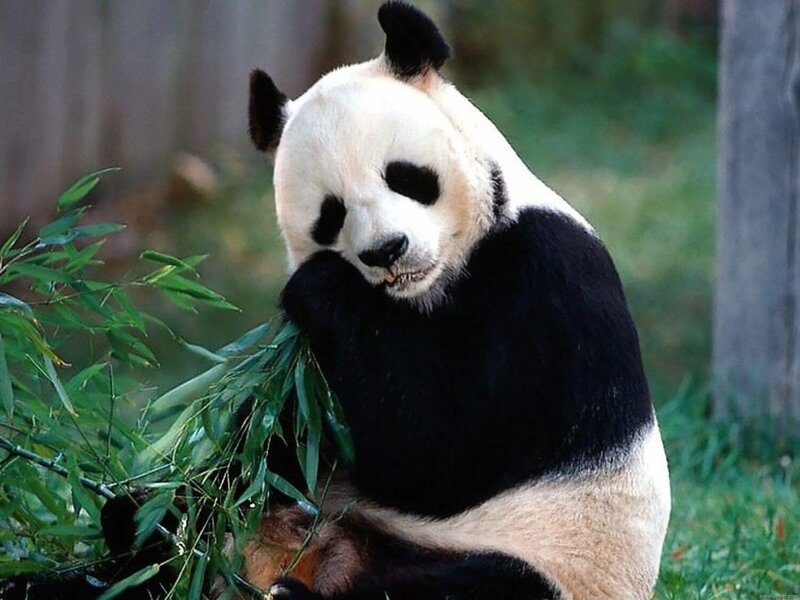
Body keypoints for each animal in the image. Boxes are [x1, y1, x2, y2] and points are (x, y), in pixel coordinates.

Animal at [242, 2, 671, 600]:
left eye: (405, 176)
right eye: (331, 214)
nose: (386, 251)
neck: (431, 287)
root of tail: (332, 555)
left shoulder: (547, 283)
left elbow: (440, 449)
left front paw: (319, 284)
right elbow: (290, 427)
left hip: (555, 559)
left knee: (475, 584)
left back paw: (293, 593)